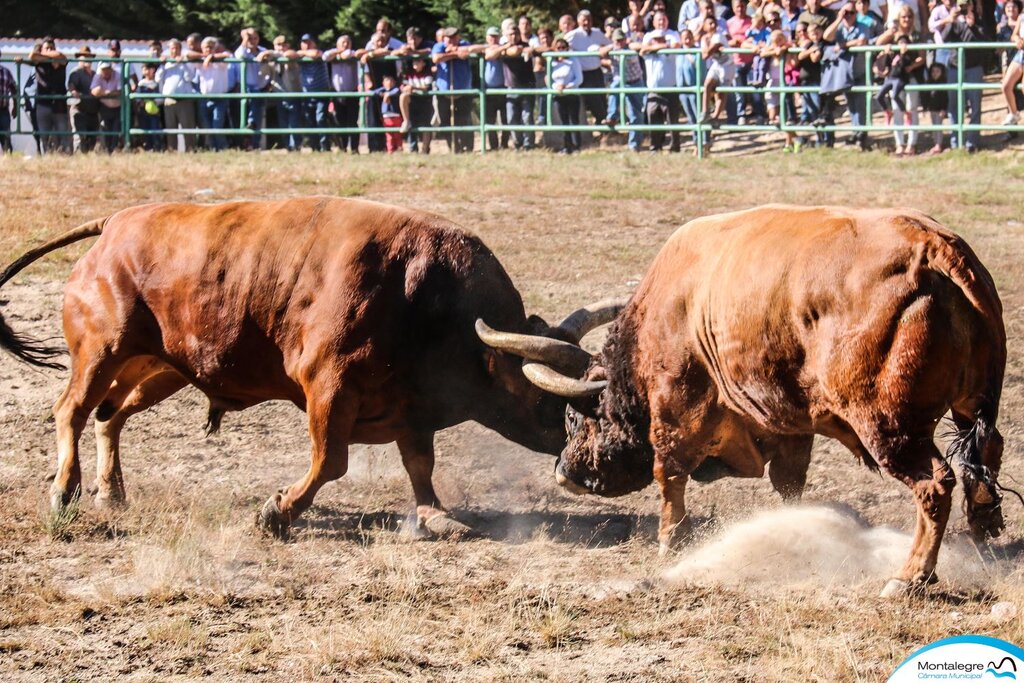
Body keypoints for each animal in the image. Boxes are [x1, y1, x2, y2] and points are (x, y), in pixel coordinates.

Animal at [0, 197, 614, 540]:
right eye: (559, 400)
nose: (577, 465)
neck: (421, 293)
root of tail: (116, 224)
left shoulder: (411, 407)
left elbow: (420, 464)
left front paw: (435, 516)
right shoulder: (328, 387)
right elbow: (330, 461)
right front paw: (277, 512)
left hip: (161, 365)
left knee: (110, 415)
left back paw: (110, 492)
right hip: (101, 351)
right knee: (72, 410)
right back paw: (64, 491)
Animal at [528, 205, 1007, 593]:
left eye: (575, 418)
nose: (564, 472)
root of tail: (935, 248)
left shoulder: (676, 405)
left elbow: (669, 474)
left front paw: (671, 540)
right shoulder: (791, 423)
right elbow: (789, 483)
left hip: (890, 428)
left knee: (935, 485)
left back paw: (910, 576)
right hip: (969, 409)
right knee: (986, 456)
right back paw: (983, 530)